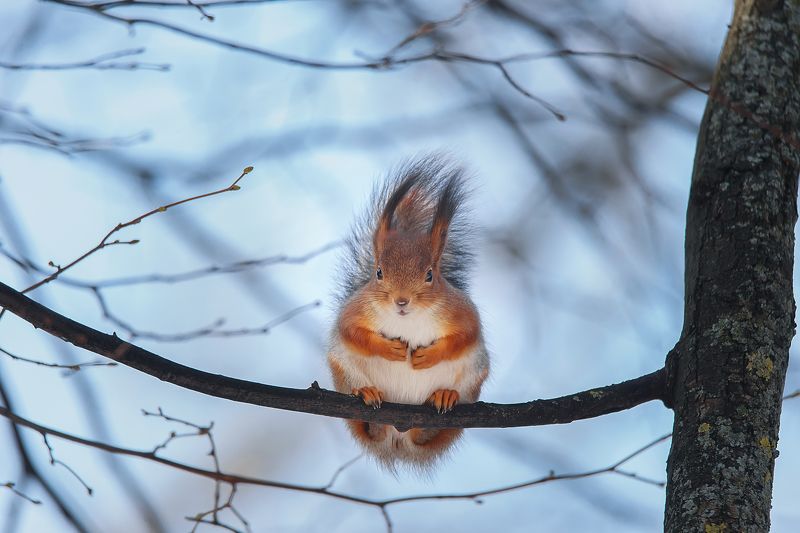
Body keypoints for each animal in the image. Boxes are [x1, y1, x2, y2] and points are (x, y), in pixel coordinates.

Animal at [327, 156, 490, 470]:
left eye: (430, 275)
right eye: (378, 272)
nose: (401, 301)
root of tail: (398, 437)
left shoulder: (461, 311)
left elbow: (466, 334)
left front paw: (429, 355)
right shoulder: (357, 310)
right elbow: (350, 330)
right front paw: (388, 348)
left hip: (473, 376)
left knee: (425, 432)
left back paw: (442, 400)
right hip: (343, 368)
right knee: (370, 425)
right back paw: (367, 399)